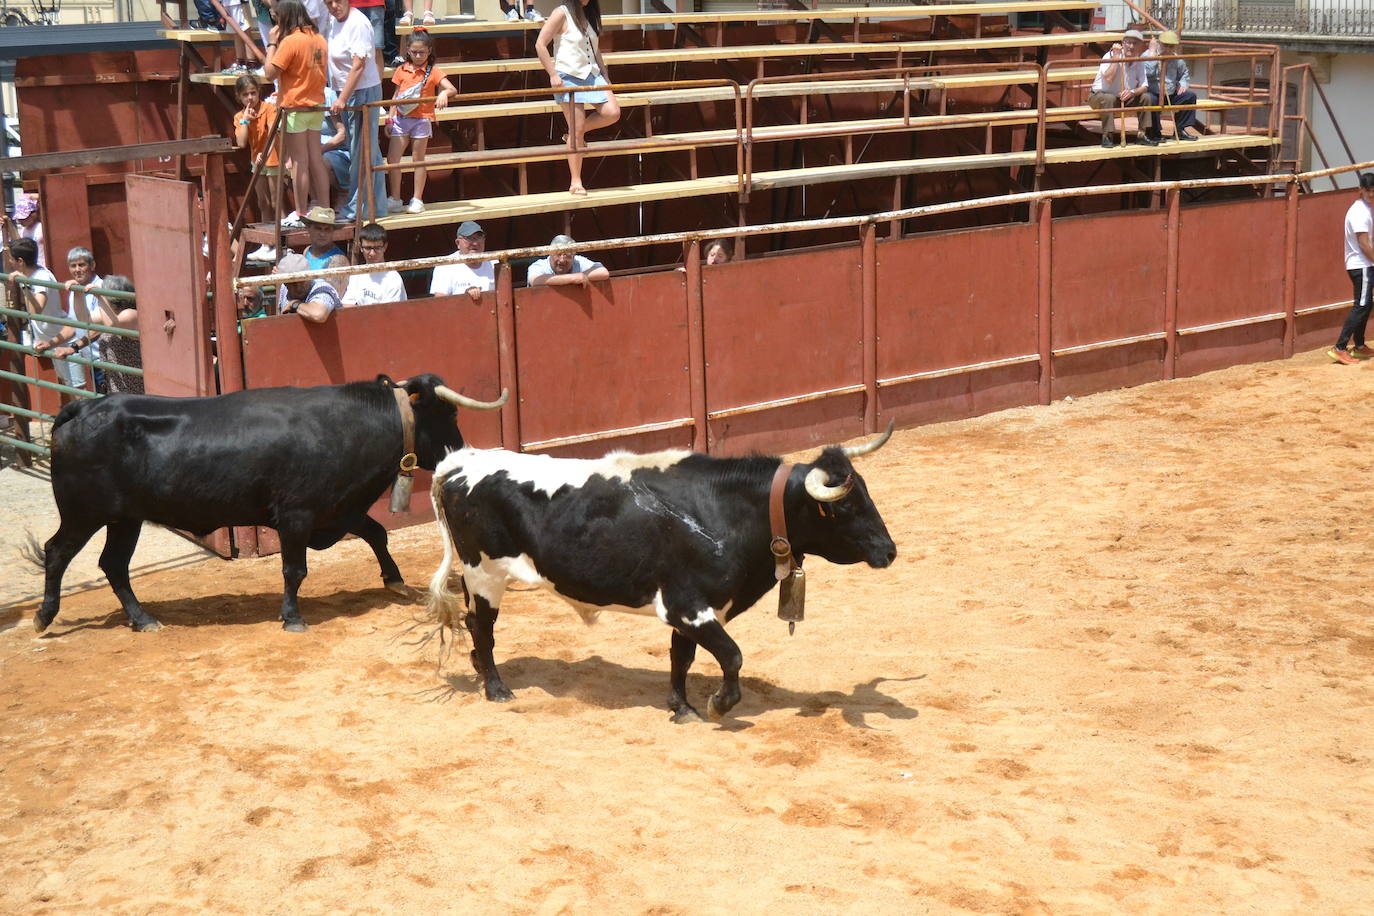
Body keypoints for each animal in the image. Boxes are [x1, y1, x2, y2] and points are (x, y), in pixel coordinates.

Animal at [36, 370, 505, 631]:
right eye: (450, 414)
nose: (462, 453)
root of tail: (82, 408)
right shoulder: (298, 514)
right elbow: (294, 569)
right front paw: (293, 617)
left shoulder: (336, 508)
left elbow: (375, 533)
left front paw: (393, 579)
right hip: (84, 513)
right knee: (57, 552)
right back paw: (44, 616)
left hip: (124, 518)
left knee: (113, 565)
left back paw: (144, 619)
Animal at [428, 428, 901, 725]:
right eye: (844, 506)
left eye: (866, 494)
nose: (889, 551)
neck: (726, 510)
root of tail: (459, 462)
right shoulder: (687, 606)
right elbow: (732, 656)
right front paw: (717, 705)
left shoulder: (692, 608)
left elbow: (682, 657)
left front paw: (681, 706)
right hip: (485, 572)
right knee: (482, 626)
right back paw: (496, 688)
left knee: (474, 624)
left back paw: (480, 669)